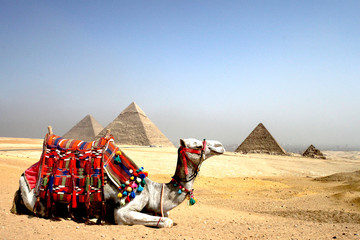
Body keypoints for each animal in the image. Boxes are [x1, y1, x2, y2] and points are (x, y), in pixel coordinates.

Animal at [12, 126, 225, 228]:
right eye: (196, 145)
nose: (220, 146)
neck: (153, 190)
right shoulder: (125, 209)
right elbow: (166, 221)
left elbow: (166, 216)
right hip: (35, 194)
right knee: (34, 201)